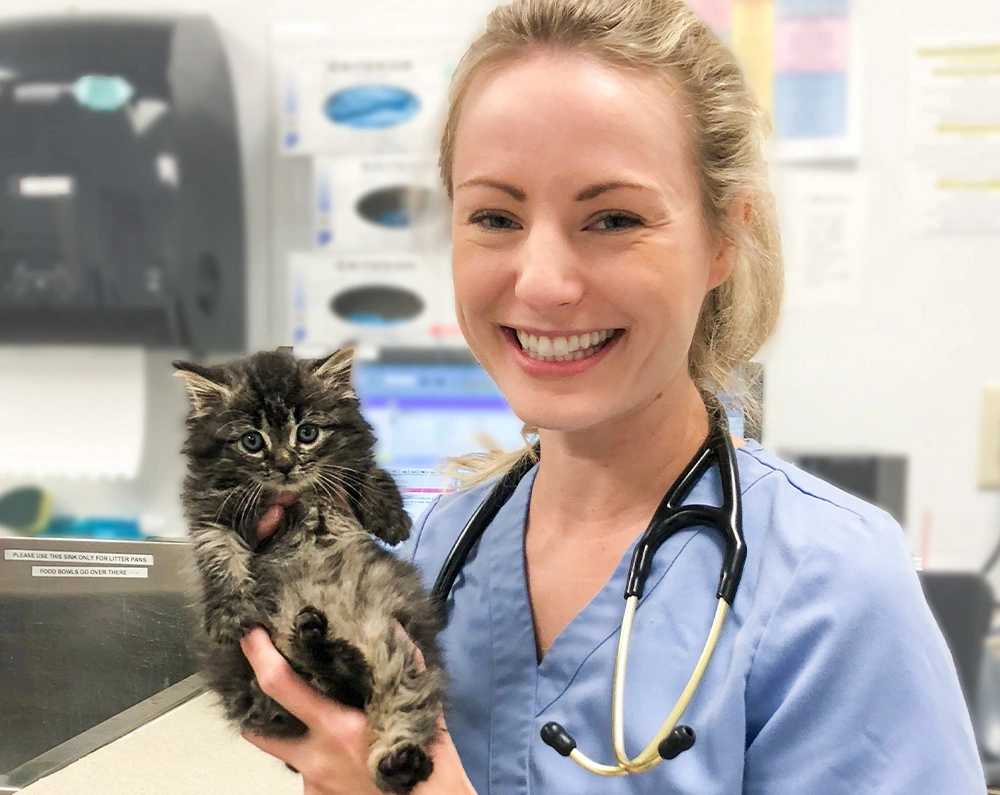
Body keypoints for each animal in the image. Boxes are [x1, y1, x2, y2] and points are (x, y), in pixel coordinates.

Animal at [173, 347, 446, 794]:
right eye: (252, 441)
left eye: (307, 433)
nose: (285, 465)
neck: (294, 497)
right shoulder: (211, 514)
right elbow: (219, 556)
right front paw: (230, 613)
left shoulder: (351, 462)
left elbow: (370, 471)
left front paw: (390, 516)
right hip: (255, 682)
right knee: (329, 685)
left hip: (399, 648)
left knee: (385, 696)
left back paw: (399, 758)